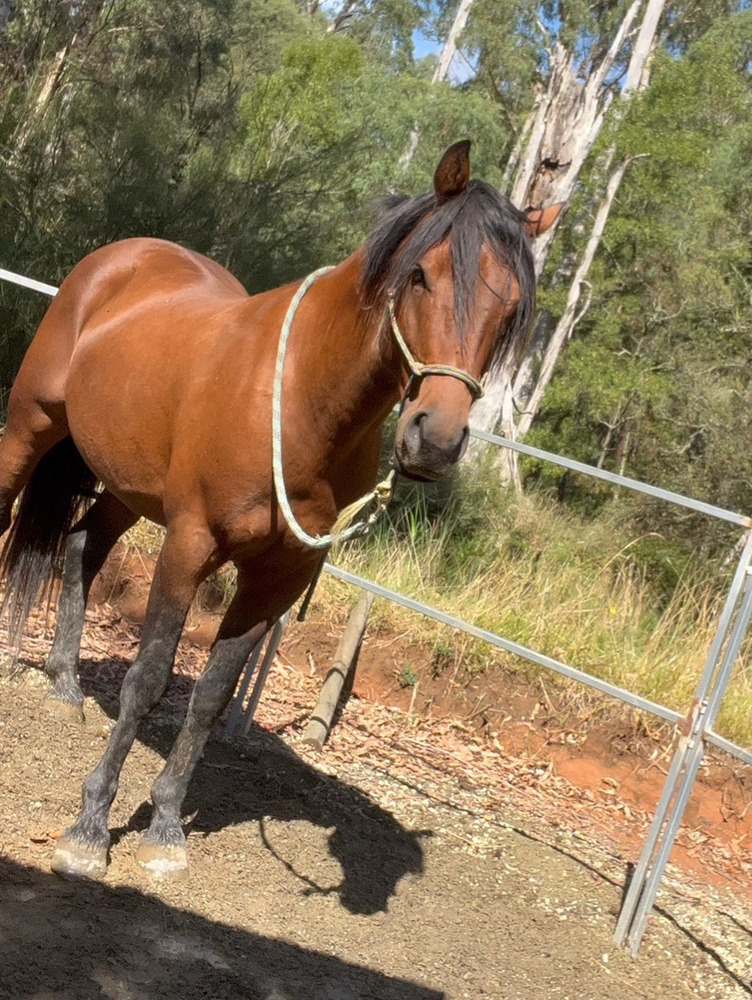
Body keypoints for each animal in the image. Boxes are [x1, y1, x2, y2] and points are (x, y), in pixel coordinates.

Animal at [0, 140, 559, 879]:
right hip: (31, 426)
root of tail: (119, 259)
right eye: (421, 275)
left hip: (124, 486)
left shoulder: (278, 576)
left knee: (80, 547)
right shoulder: (189, 546)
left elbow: (210, 697)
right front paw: (91, 826)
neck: (298, 398)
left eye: (513, 307)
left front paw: (166, 826)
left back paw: (63, 684)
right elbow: (148, 681)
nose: (434, 440)